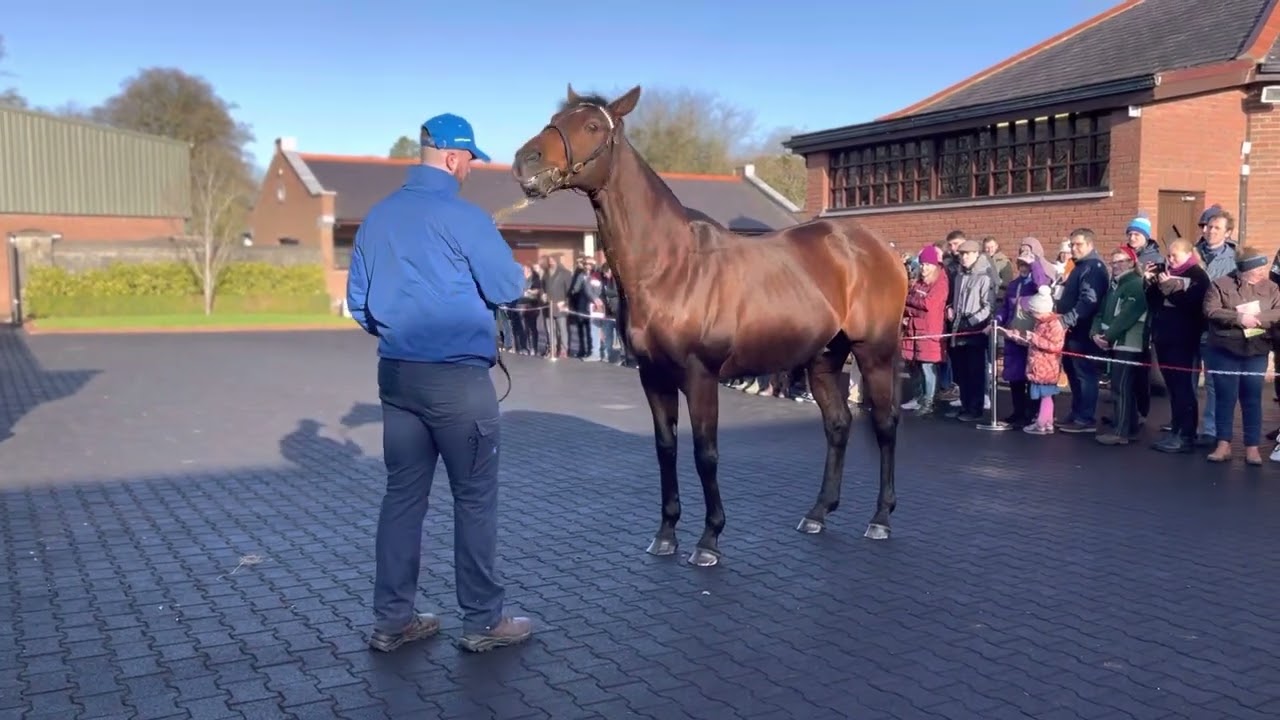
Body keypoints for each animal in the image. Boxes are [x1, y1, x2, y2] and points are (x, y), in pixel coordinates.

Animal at [511, 85, 908, 567]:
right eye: (554, 119)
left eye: (590, 126)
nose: (525, 160)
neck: (670, 266)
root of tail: (877, 247)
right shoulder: (653, 376)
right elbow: (666, 448)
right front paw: (666, 534)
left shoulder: (700, 376)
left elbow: (705, 453)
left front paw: (709, 539)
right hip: (824, 358)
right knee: (838, 425)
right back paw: (818, 512)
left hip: (875, 351)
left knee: (885, 425)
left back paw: (881, 518)